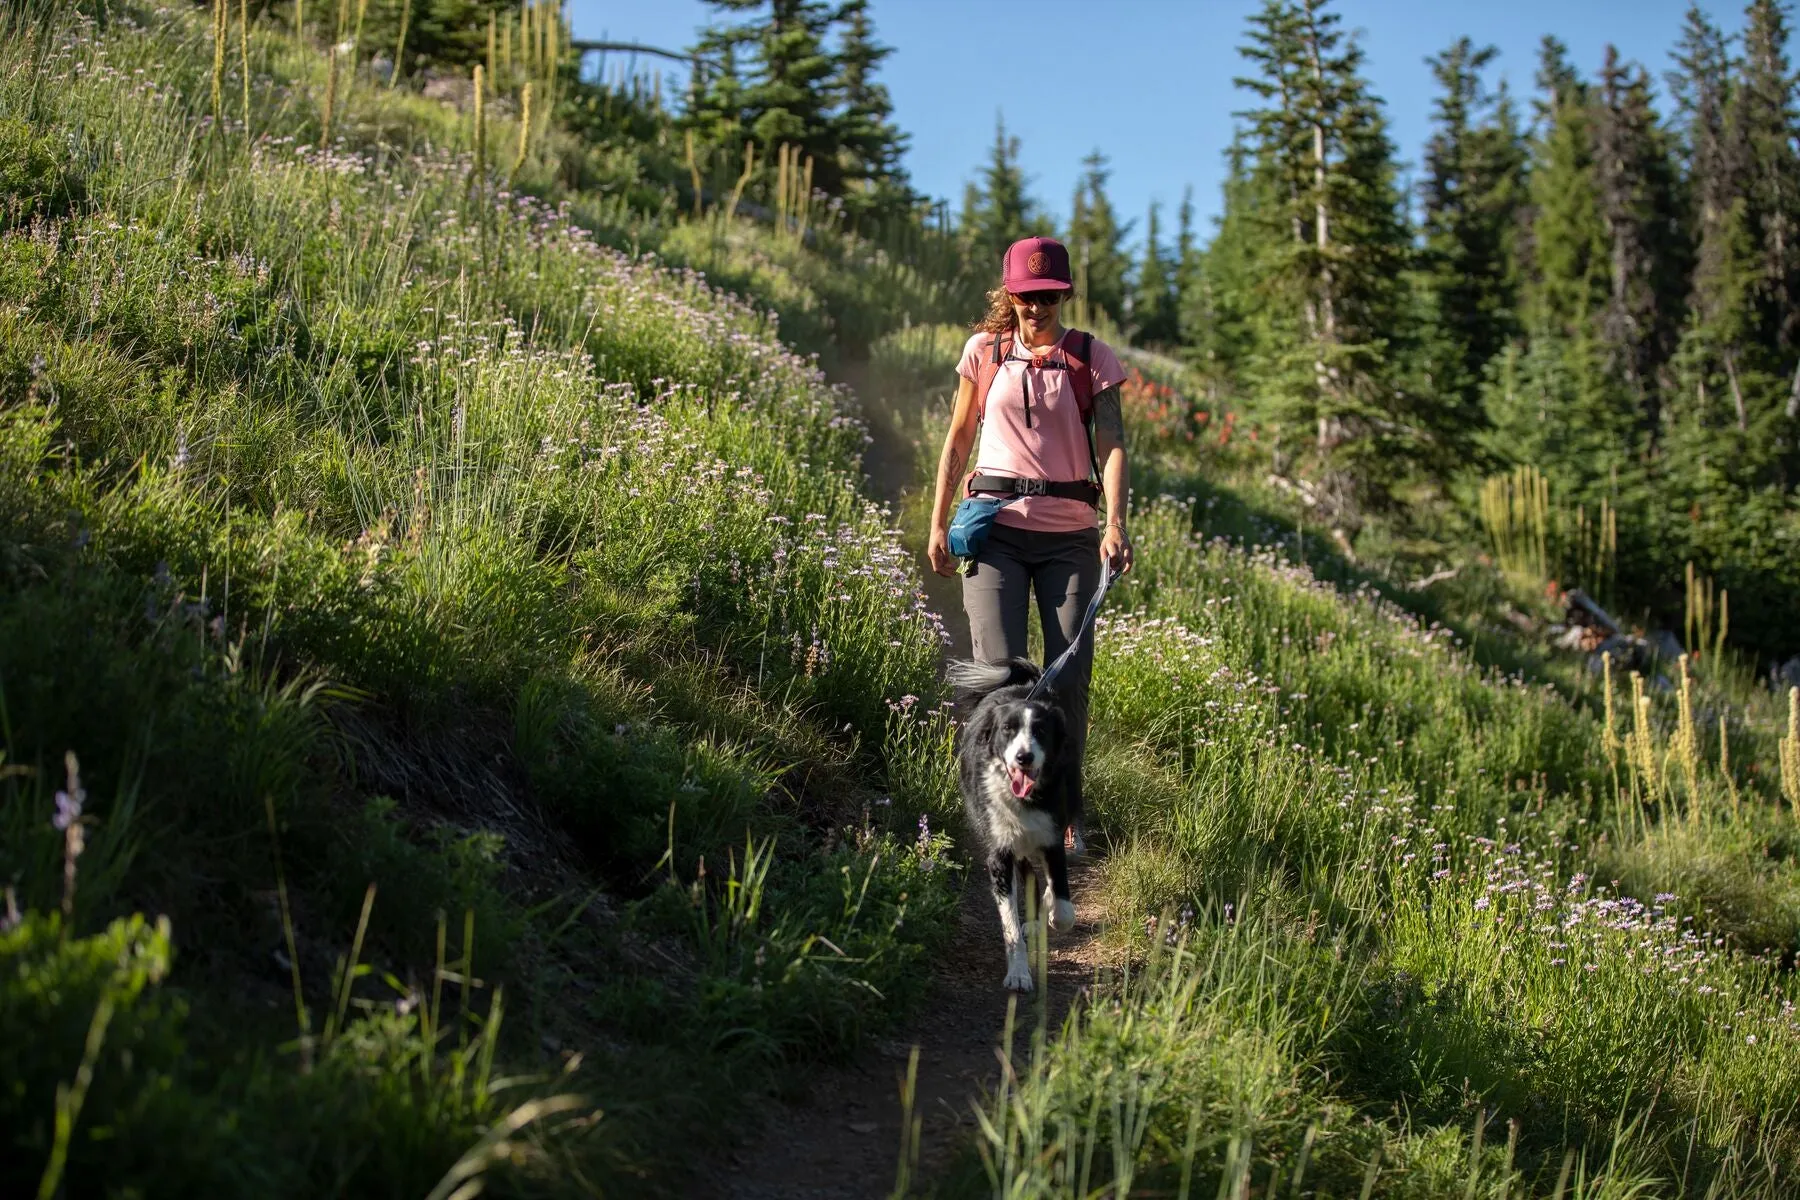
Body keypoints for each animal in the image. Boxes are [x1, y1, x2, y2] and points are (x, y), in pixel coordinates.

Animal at [943, 662, 1080, 993]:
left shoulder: (1052, 836)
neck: (1024, 798)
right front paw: (1018, 973)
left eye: (1040, 731)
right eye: (1008, 729)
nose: (1024, 757)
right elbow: (1011, 927)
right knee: (1028, 873)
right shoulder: (1000, 852)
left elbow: (1063, 907)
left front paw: (1053, 911)